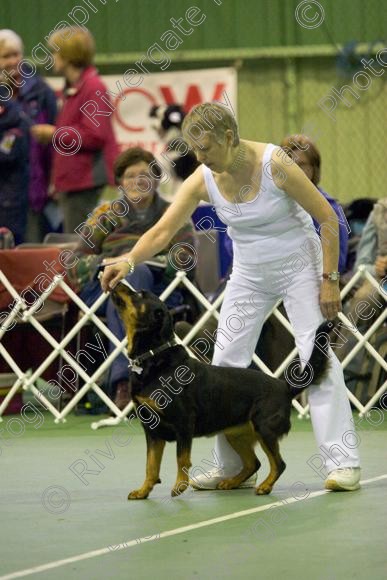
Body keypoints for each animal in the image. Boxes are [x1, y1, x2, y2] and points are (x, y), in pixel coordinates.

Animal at [111, 284, 330, 496]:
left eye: (140, 294)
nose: (117, 283)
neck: (153, 357)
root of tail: (284, 386)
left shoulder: (183, 423)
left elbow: (182, 459)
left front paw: (180, 485)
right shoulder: (151, 430)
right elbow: (151, 465)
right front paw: (143, 491)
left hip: (264, 427)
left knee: (278, 463)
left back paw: (265, 486)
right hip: (236, 434)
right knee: (254, 463)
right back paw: (231, 482)